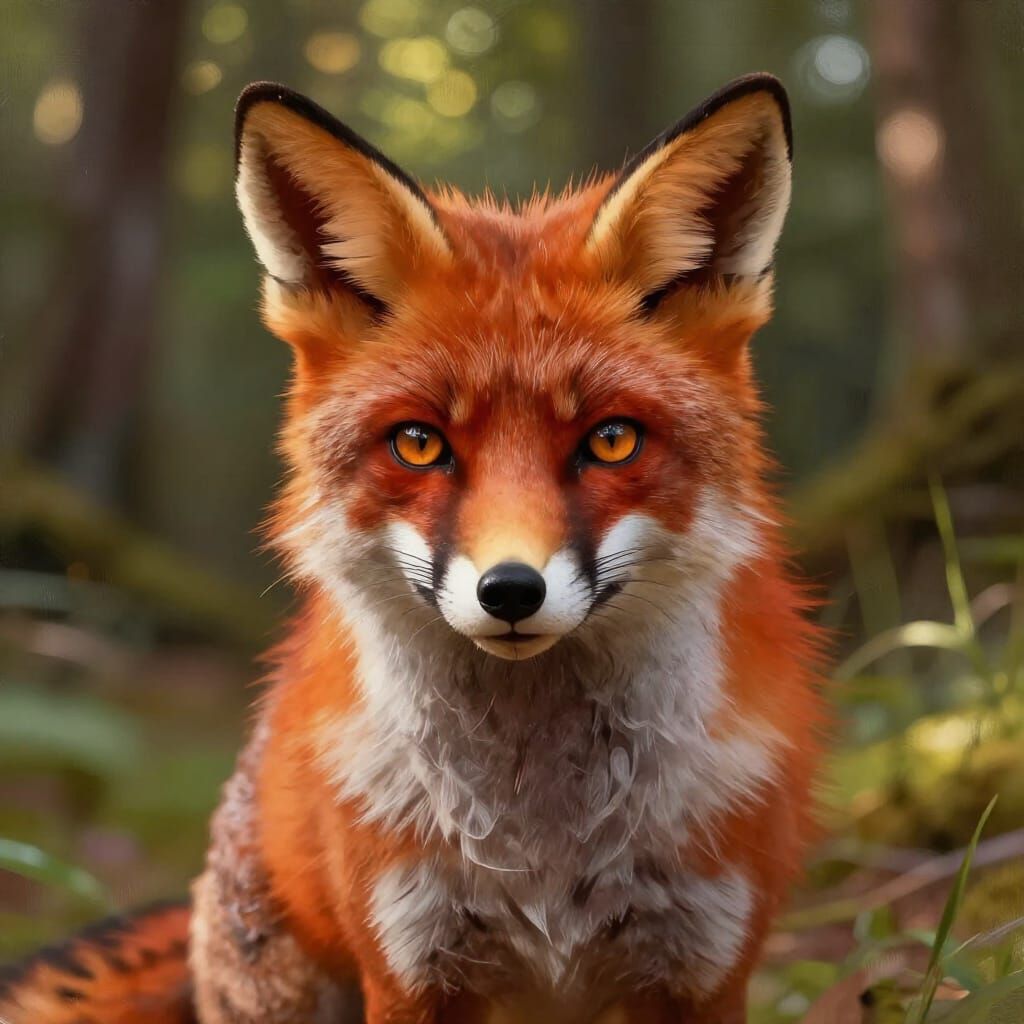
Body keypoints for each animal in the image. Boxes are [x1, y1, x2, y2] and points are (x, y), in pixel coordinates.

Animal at [1, 73, 822, 1024]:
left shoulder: (706, 967)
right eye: (420, 444)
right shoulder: (409, 968)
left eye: (612, 440)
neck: (546, 846)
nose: (512, 591)